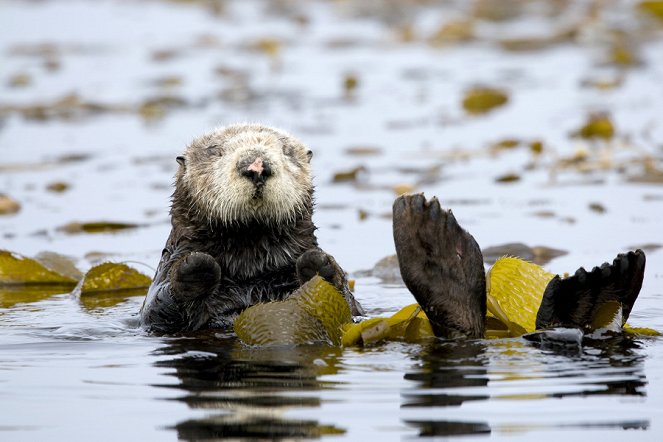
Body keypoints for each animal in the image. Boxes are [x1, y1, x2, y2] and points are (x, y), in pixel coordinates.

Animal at [139, 122, 364, 334]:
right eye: (216, 152)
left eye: (286, 151)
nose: (257, 167)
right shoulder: (162, 284)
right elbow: (157, 311)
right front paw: (197, 267)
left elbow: (350, 306)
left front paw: (316, 263)